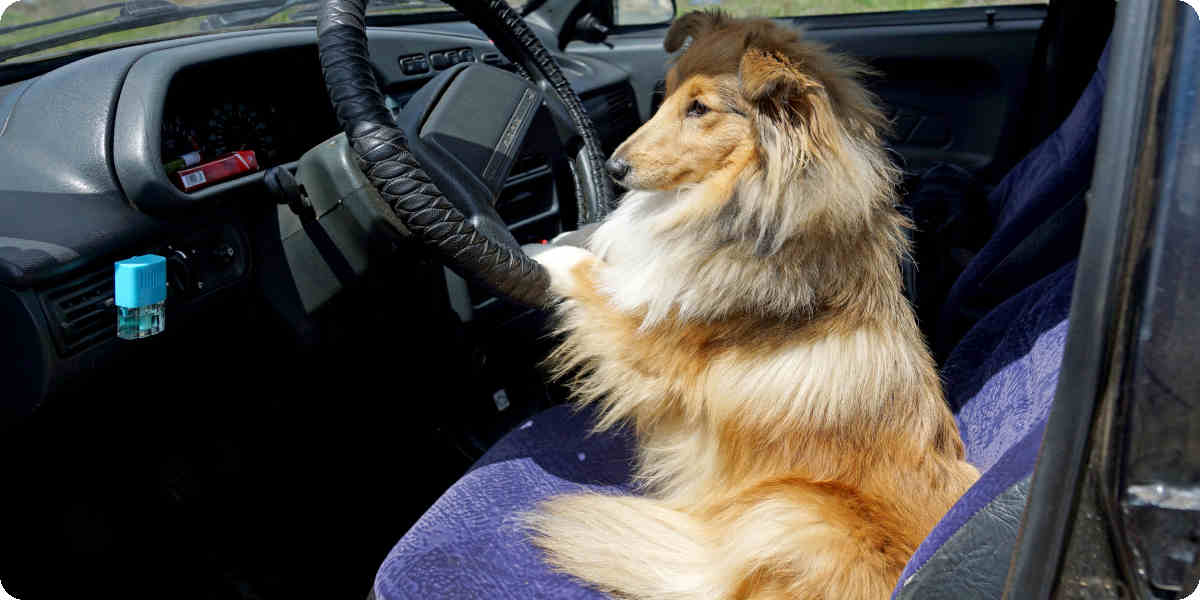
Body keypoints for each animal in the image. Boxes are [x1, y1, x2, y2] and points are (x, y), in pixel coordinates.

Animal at [530, 10, 979, 600]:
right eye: (666, 93)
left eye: (699, 108)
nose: (614, 167)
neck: (737, 200)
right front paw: (562, 237)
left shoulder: (651, 346)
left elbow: (592, 278)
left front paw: (541, 256)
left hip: (786, 509)